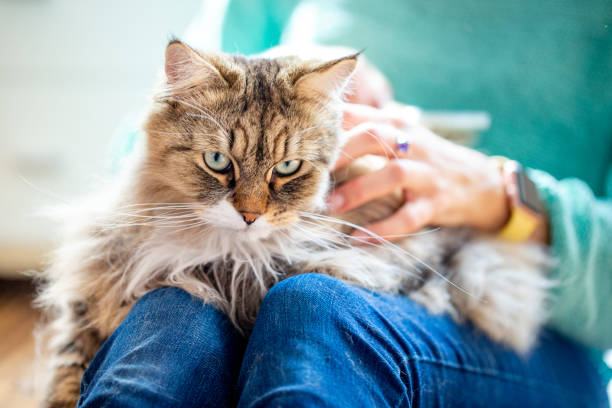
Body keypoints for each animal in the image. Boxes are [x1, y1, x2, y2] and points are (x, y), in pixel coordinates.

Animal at [38, 40, 552, 408]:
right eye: (217, 161)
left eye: (287, 169)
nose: (249, 216)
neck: (228, 259)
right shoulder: (97, 282)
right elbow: (67, 365)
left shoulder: (403, 250)